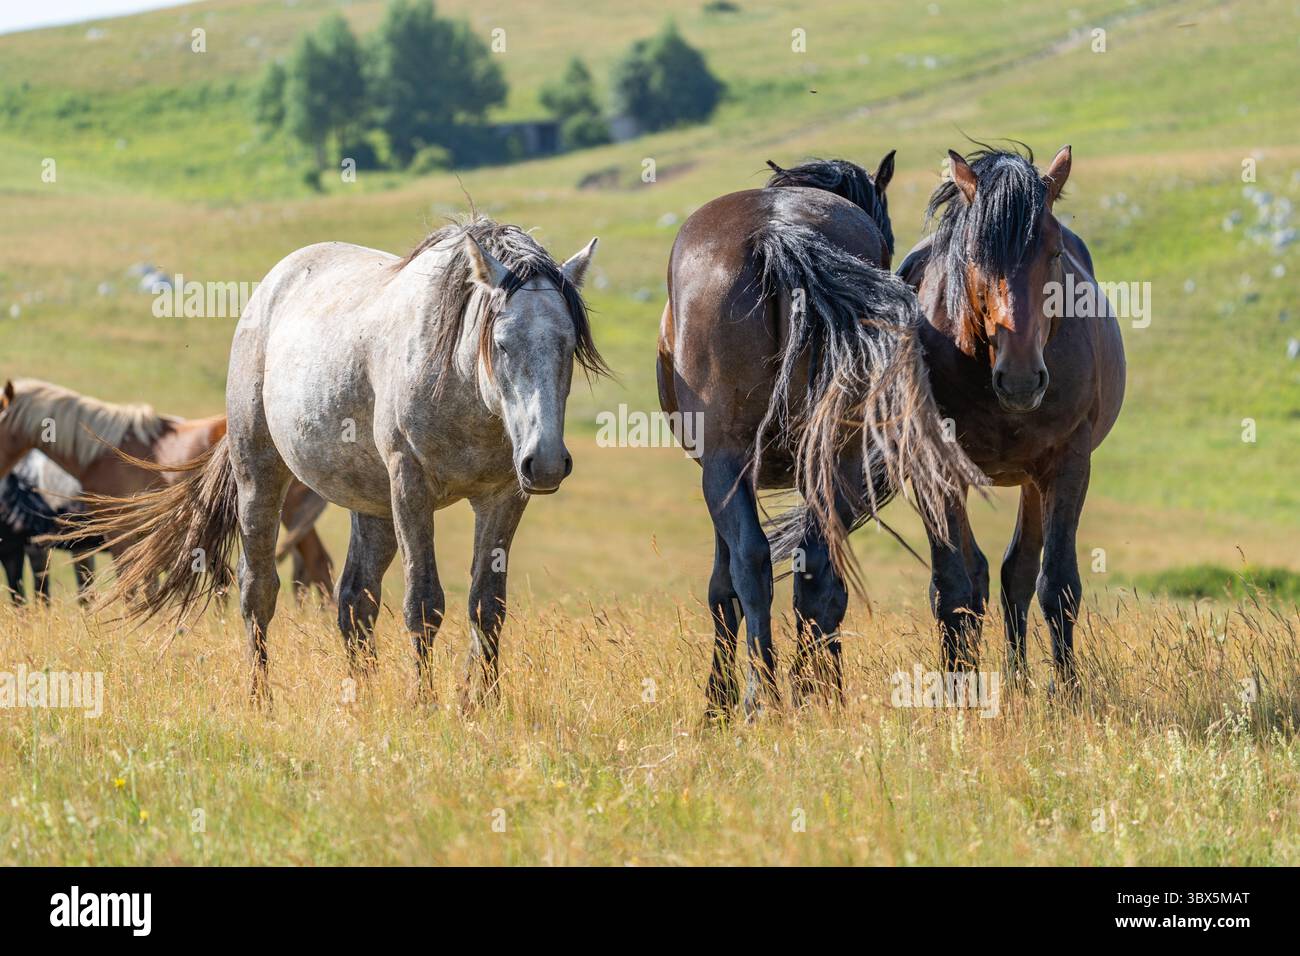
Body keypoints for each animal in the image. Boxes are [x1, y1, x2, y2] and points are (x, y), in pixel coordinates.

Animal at [74, 216, 606, 708]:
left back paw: (360, 697)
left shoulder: (502, 497)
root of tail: (273, 284)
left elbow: (487, 607)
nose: (546, 462)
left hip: (371, 506)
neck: (457, 379)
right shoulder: (410, 488)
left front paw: (482, 705)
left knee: (353, 600)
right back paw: (260, 699)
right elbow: (424, 603)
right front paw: (424, 703)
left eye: (567, 345)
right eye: (501, 344)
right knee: (258, 590)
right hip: (259, 475)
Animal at [658, 155, 983, 719]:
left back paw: (765, 695)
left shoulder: (723, 471)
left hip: (731, 461)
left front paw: (717, 702)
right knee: (816, 570)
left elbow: (723, 587)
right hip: (830, 458)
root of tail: (777, 231)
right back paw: (814, 693)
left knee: (756, 565)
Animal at [898, 144, 1125, 689]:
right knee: (978, 575)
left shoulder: (1067, 463)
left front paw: (1067, 692)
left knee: (1015, 572)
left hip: (1032, 478)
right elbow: (953, 588)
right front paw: (956, 690)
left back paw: (1020, 680)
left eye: (1055, 253)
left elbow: (1057, 584)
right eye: (975, 254)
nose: (1021, 380)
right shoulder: (934, 468)